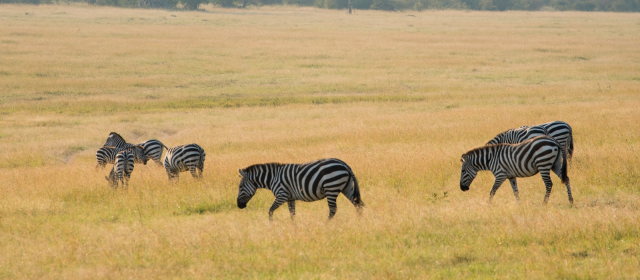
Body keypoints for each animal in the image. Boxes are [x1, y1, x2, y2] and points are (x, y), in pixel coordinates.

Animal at [236, 159, 364, 220]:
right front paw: (294, 228)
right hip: (347, 188)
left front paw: (271, 225)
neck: (273, 178)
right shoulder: (290, 197)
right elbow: (292, 213)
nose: (239, 205)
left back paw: (326, 224)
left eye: (240, 187)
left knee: (333, 210)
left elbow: (270, 210)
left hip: (331, 188)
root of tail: (344, 164)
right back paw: (358, 223)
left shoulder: (282, 195)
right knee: (358, 205)